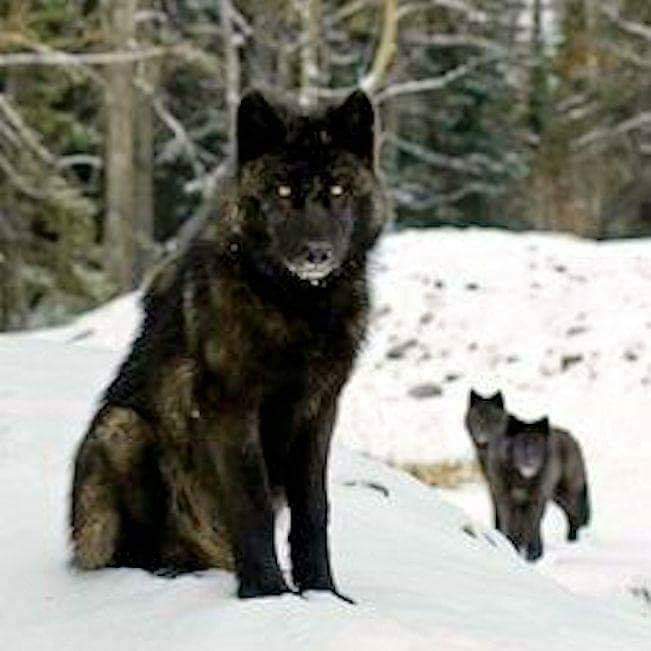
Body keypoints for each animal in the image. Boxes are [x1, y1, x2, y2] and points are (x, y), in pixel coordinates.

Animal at [70, 89, 387, 600]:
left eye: (338, 191)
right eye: (283, 192)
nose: (316, 253)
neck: (298, 308)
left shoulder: (319, 410)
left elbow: (314, 510)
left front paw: (323, 594)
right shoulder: (231, 408)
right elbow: (251, 504)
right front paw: (267, 594)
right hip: (121, 428)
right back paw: (165, 574)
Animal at [487, 414, 591, 561]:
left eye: (537, 445)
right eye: (521, 445)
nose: (530, 462)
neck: (522, 479)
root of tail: (572, 438)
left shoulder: (535, 501)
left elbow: (531, 528)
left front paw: (533, 557)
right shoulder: (506, 501)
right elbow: (511, 527)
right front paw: (513, 551)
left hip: (565, 497)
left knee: (575, 516)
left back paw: (573, 543)